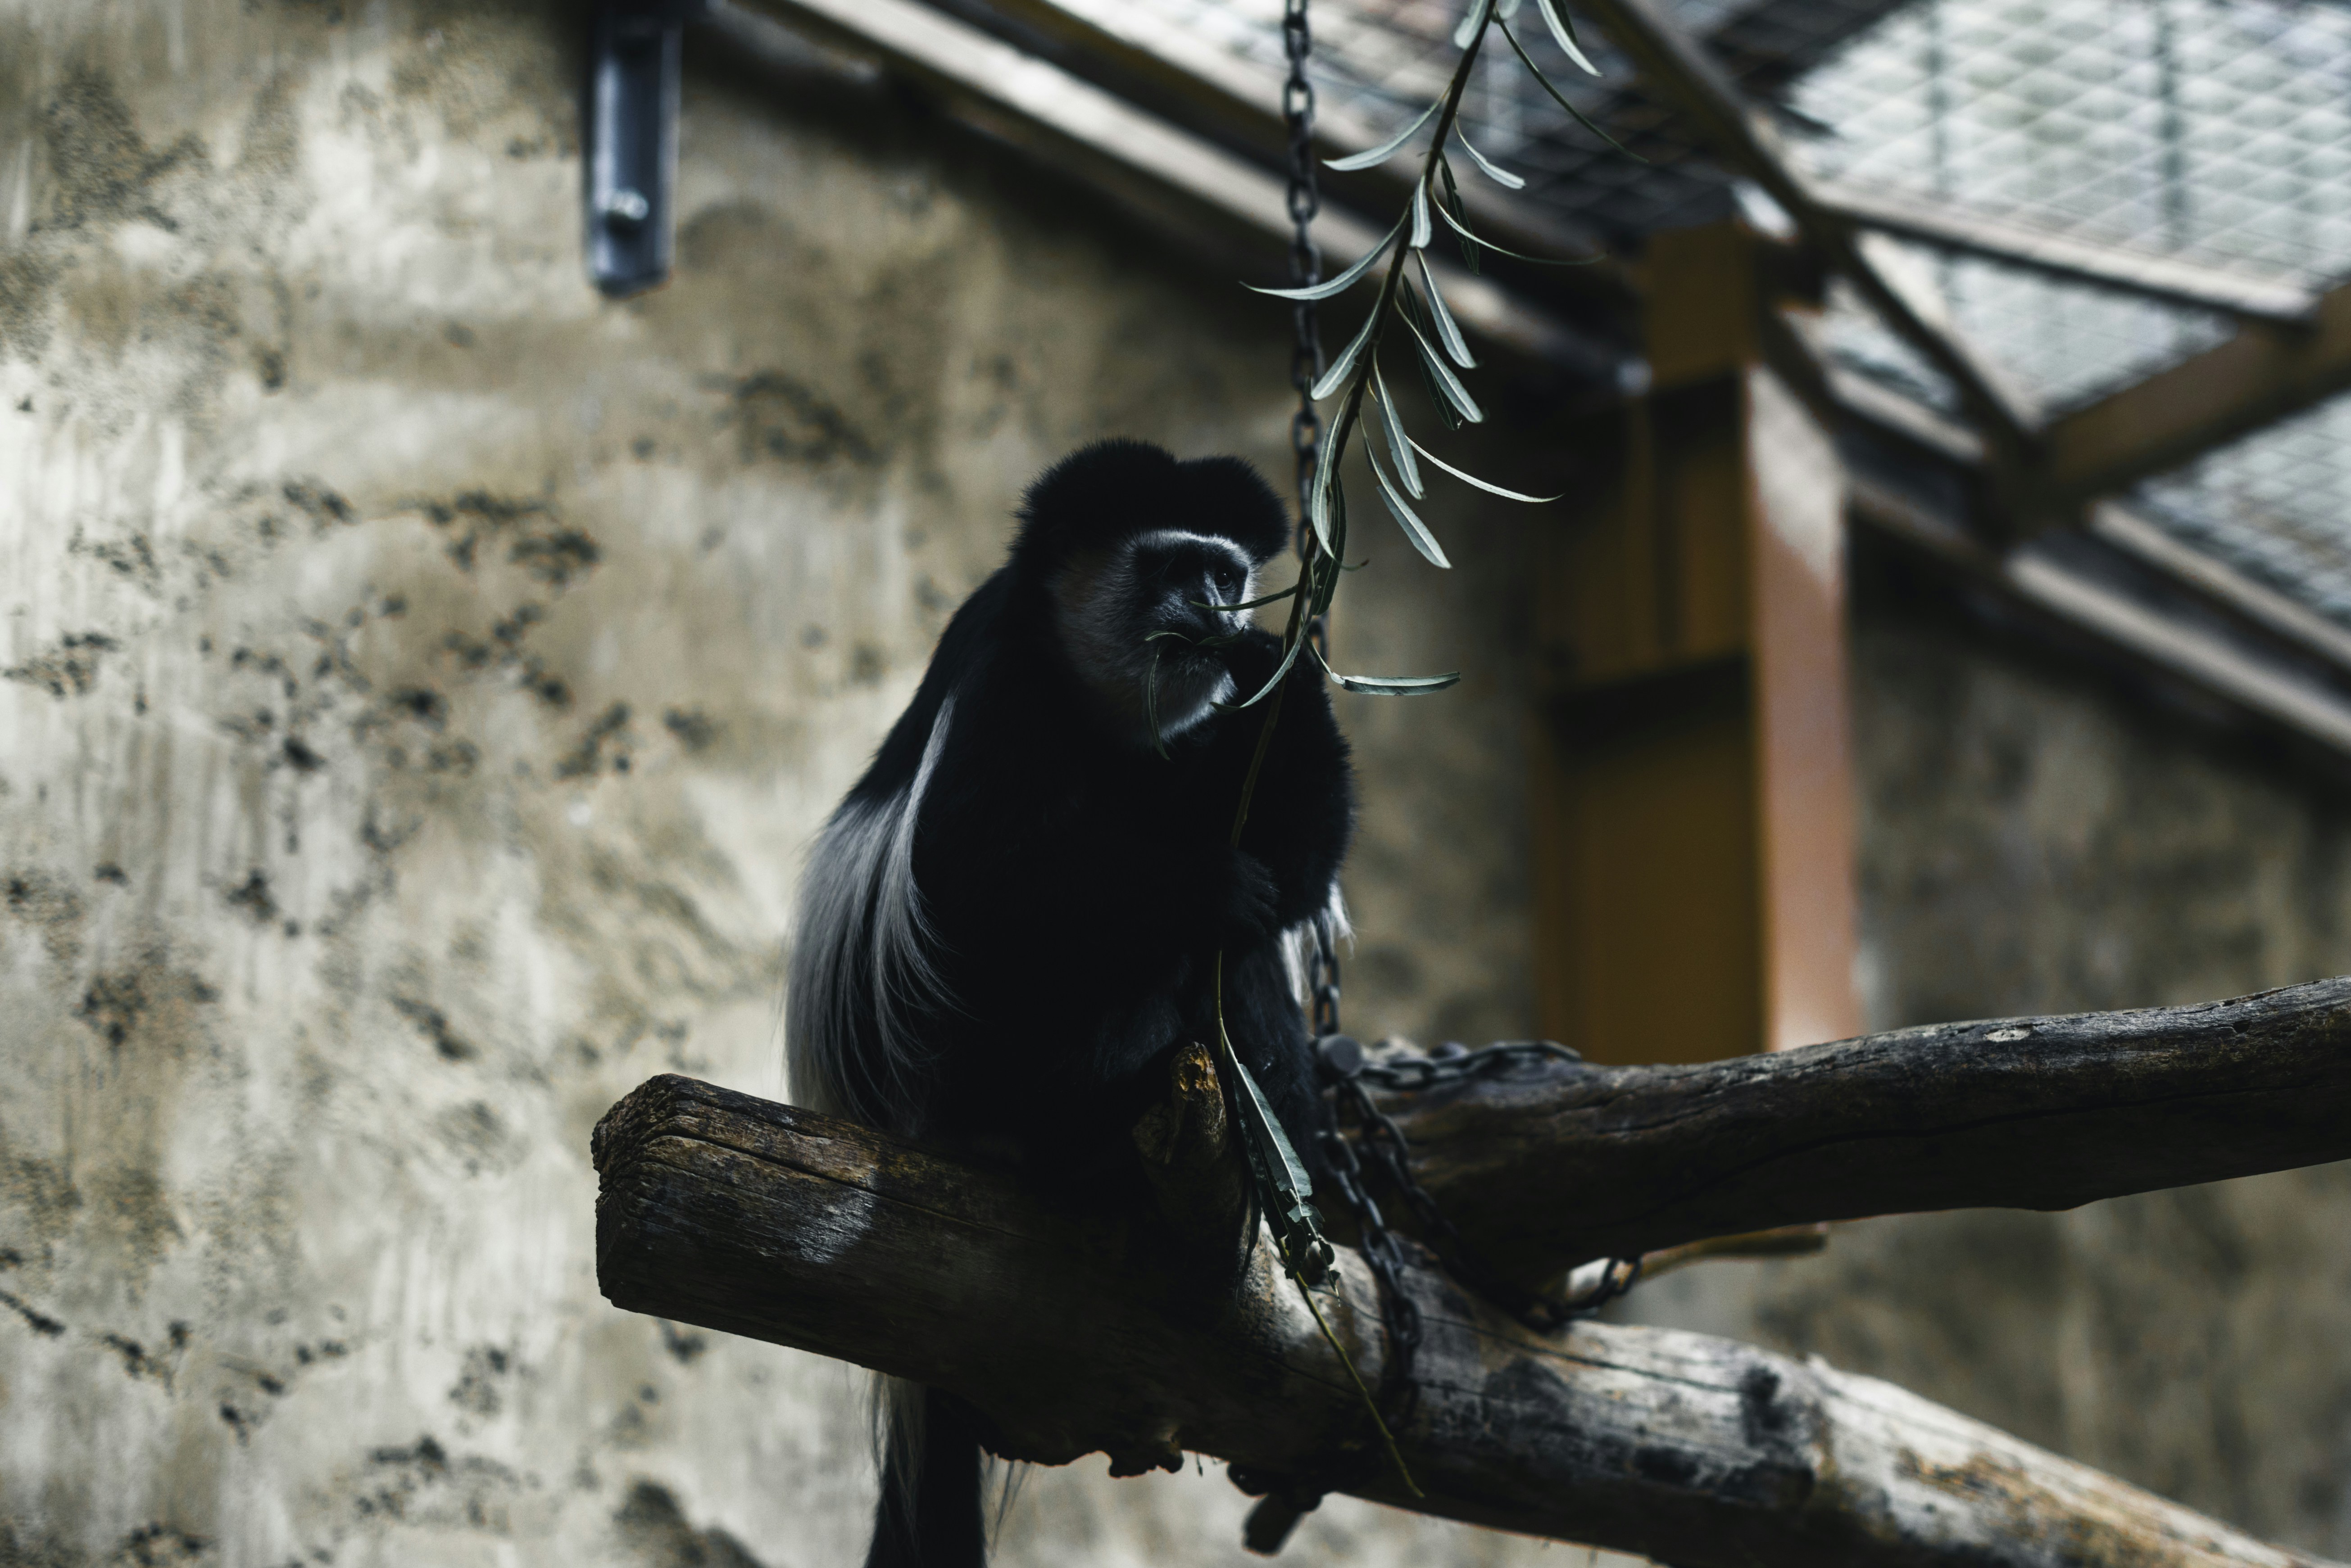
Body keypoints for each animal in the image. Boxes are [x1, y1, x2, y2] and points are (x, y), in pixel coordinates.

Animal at [785, 439, 1356, 1568]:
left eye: (1226, 571)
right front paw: (1204, 887)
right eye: (1172, 563)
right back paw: (1107, 1123)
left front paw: (1279, 656)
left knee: (1243, 973)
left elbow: (1296, 866)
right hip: (982, 1069)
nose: (1215, 610)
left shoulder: (1208, 734)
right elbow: (972, 884)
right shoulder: (1007, 686)